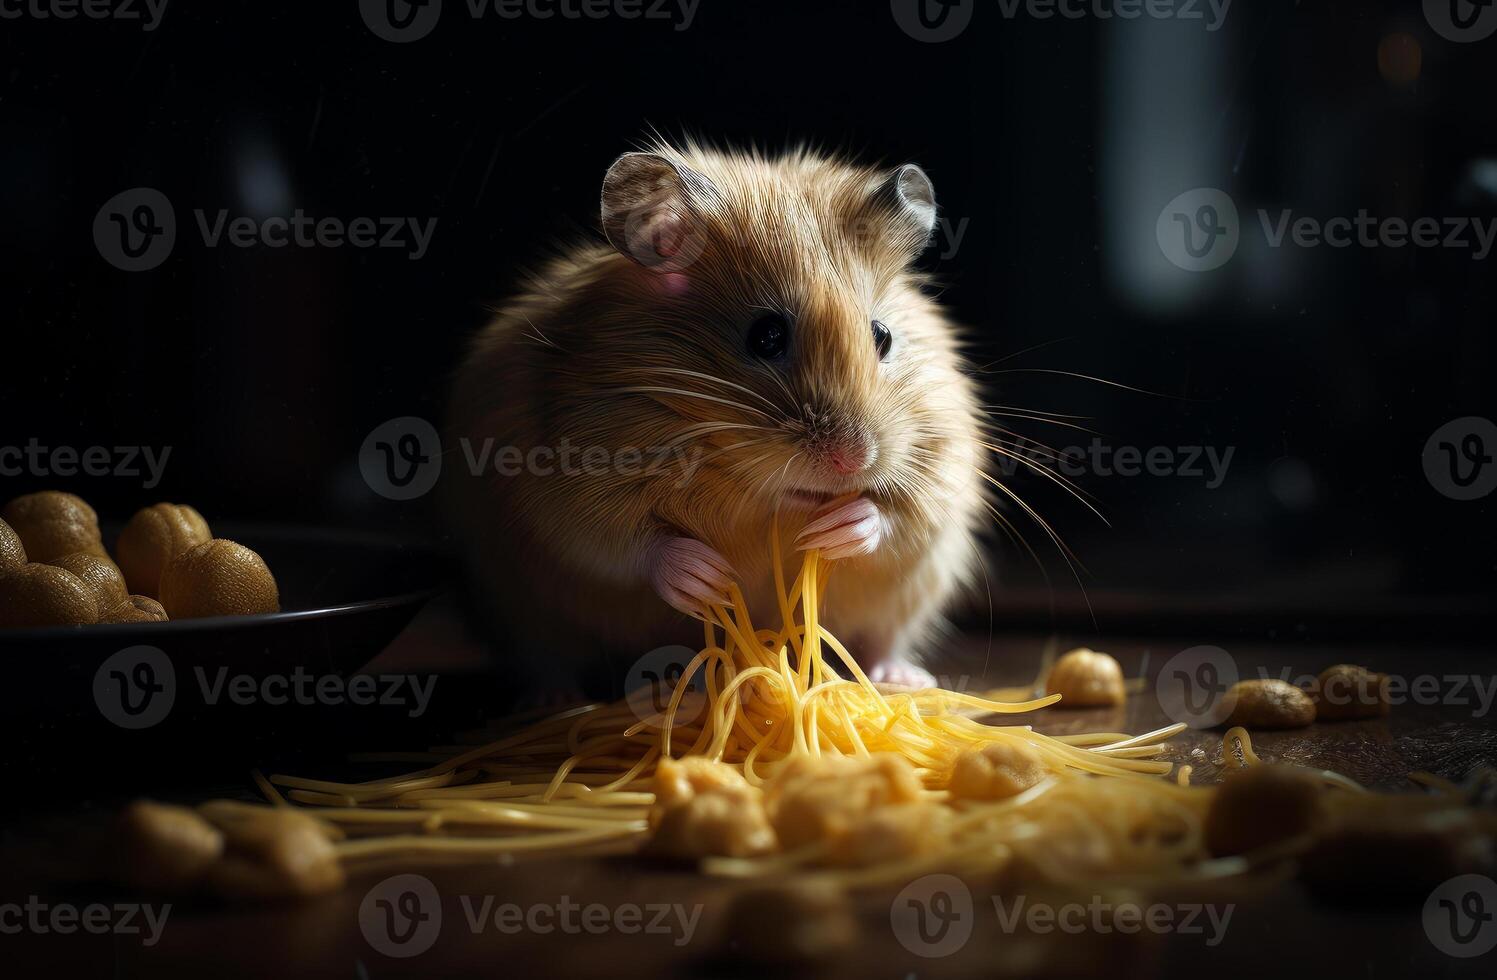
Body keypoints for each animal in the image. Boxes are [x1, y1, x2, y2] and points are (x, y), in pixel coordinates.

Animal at [440, 142, 982, 700]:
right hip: (520, 606)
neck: (764, 497)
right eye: (766, 336)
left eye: (883, 336)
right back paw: (558, 698)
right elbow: (631, 546)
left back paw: (905, 679)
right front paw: (709, 574)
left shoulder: (944, 470)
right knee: (545, 656)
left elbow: (899, 518)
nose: (852, 462)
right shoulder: (564, 486)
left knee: (883, 641)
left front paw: (836, 530)